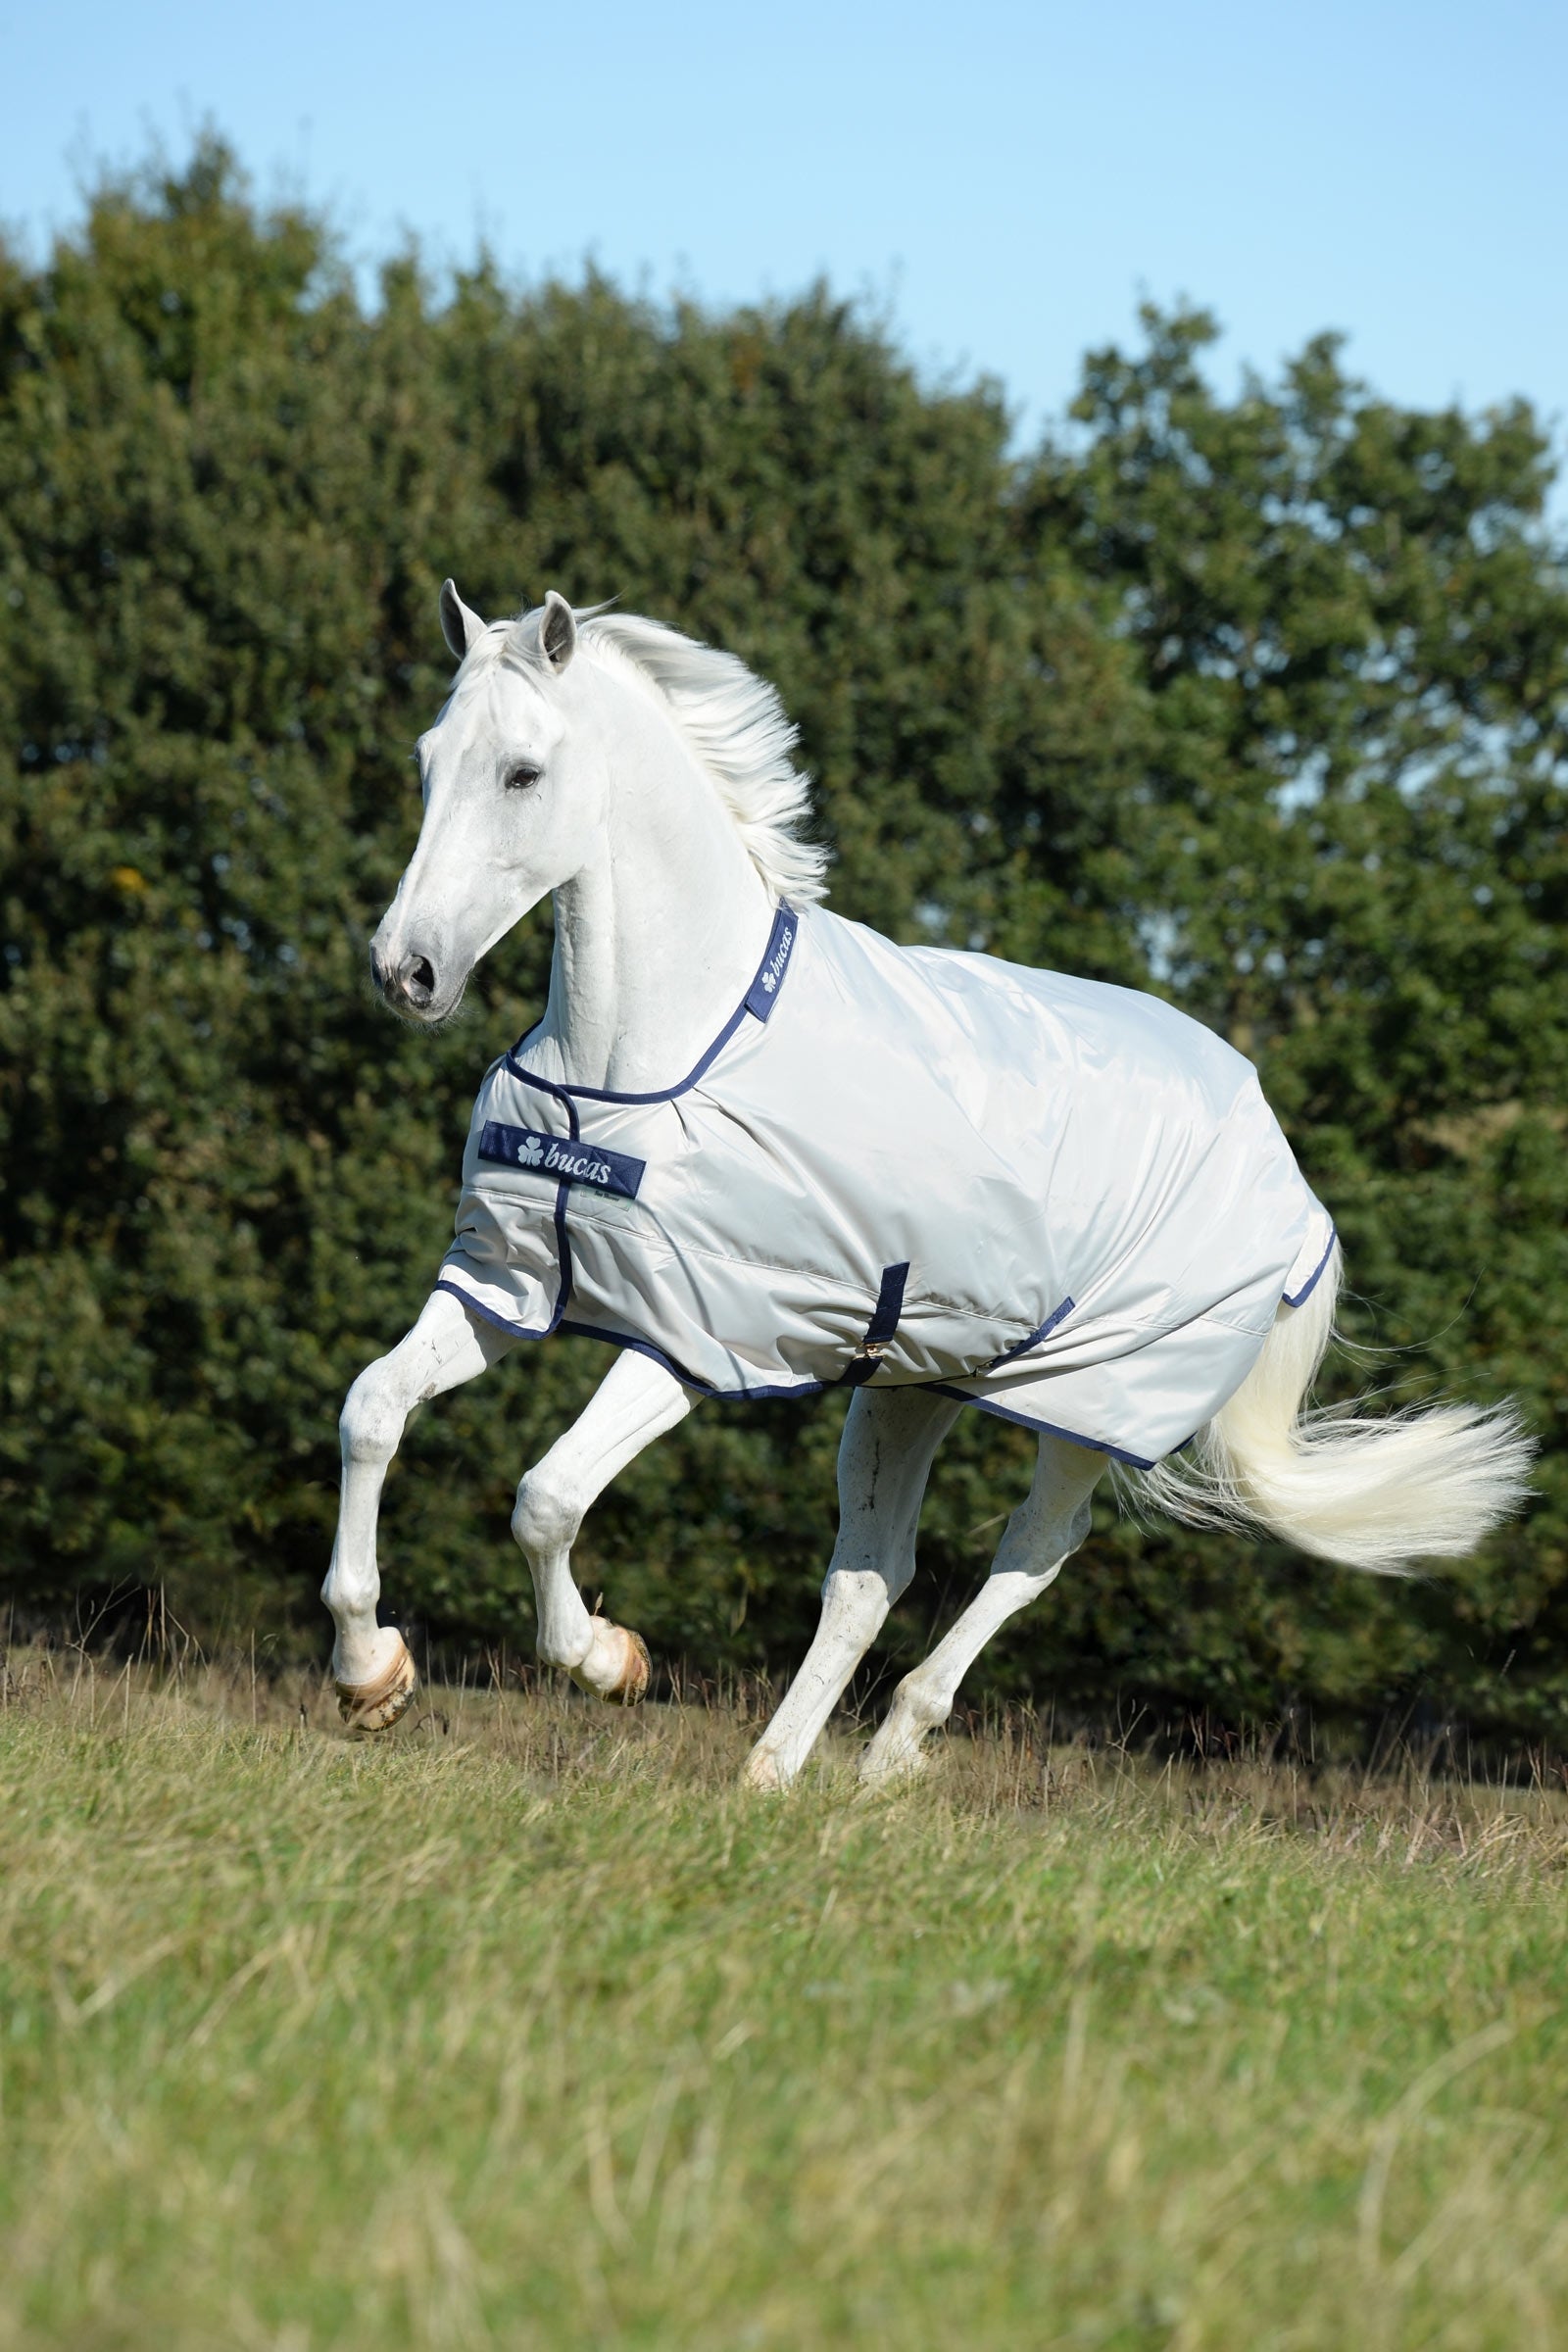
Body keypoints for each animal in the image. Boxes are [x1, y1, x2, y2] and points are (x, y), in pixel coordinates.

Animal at [321, 584, 1532, 1785]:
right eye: (428, 759)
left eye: (522, 773)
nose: (405, 972)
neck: (648, 1057)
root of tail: (1288, 1176)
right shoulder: (508, 1285)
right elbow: (372, 1409)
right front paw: (371, 1675)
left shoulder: (696, 1339)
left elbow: (545, 1498)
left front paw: (610, 1661)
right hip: (907, 1384)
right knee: (870, 1577)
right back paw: (772, 1777)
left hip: (1089, 1402)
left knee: (1034, 1552)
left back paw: (892, 1753)